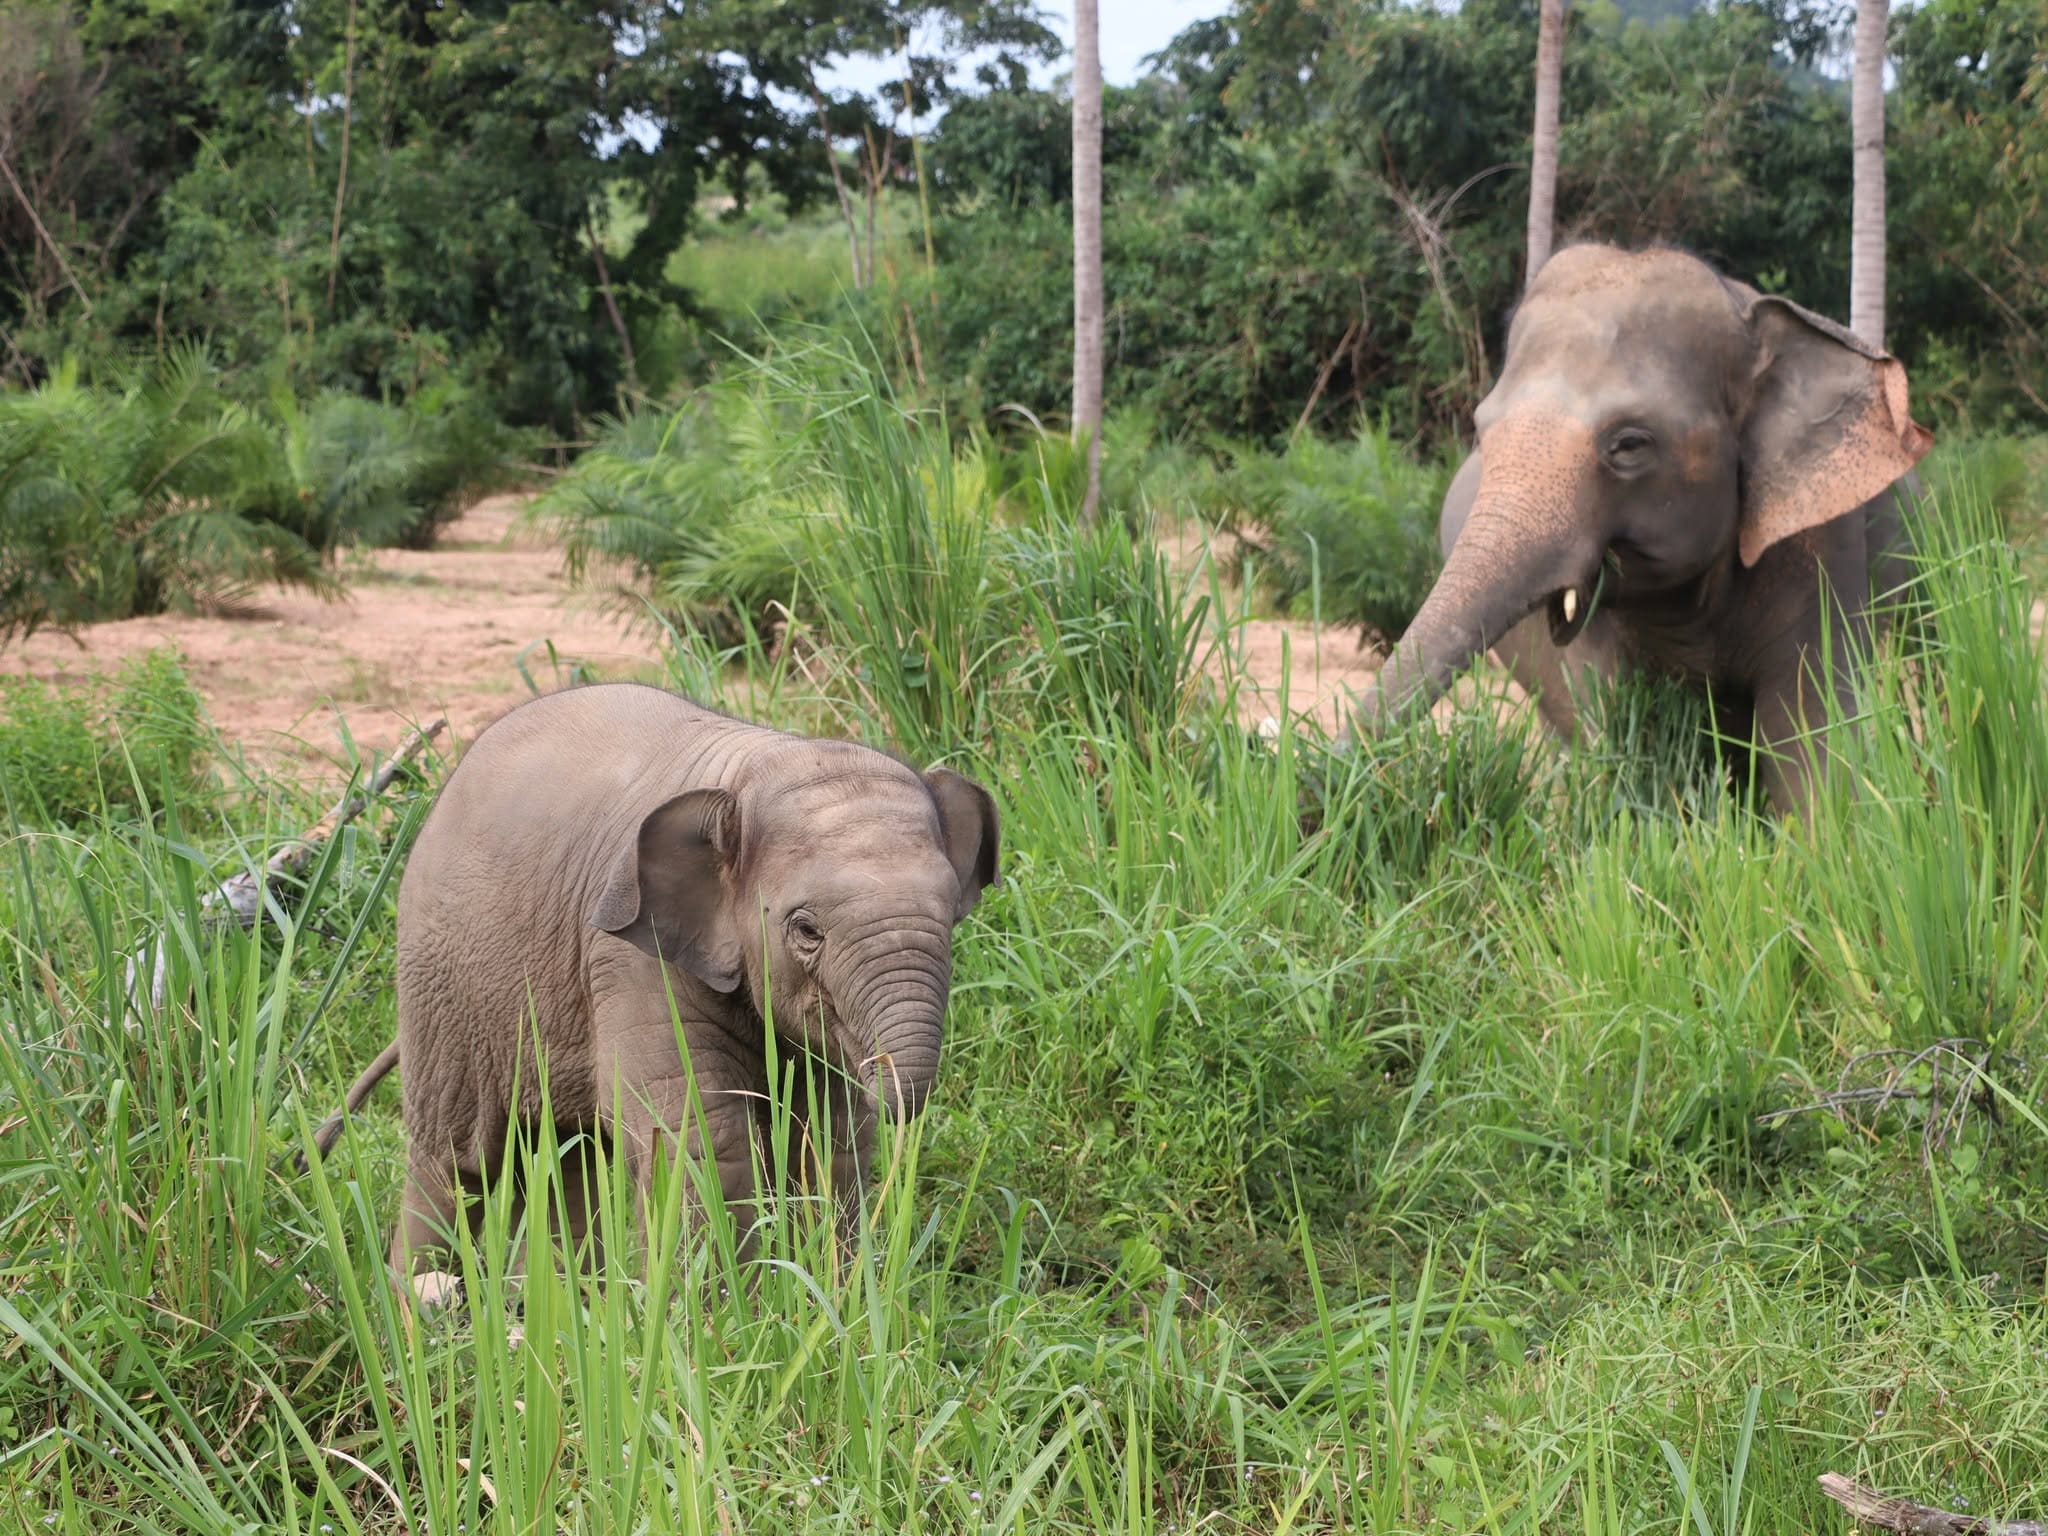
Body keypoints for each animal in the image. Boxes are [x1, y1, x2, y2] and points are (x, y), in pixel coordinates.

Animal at [309, 682, 1000, 1307]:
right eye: (806, 930)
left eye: (951, 914)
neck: (752, 766)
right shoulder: (631, 957)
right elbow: (702, 1136)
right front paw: (720, 1330)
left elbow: (824, 1139)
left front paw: (829, 1308)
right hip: (443, 985)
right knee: (457, 1163)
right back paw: (421, 1308)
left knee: (571, 1154)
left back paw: (564, 1312)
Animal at [1359, 241, 1934, 813]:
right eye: (1481, 431)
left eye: (1630, 444)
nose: (1355, 771)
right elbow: (1622, 727)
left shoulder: (1824, 539)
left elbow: (1809, 738)